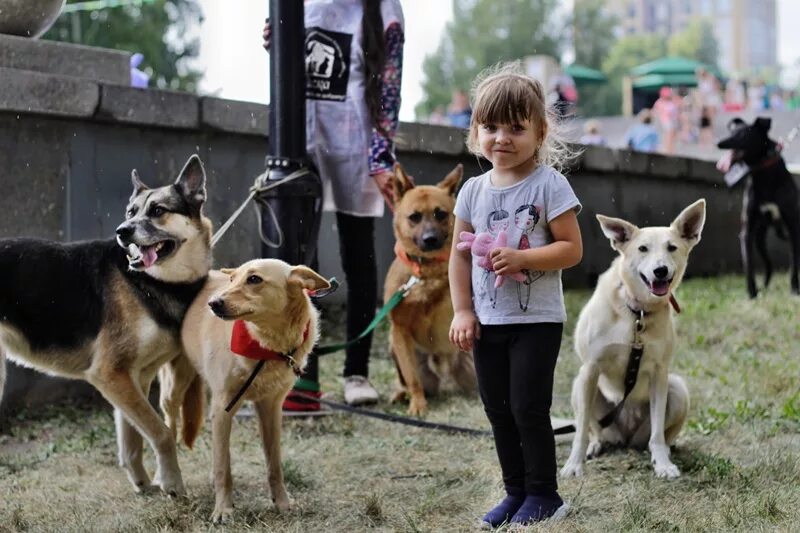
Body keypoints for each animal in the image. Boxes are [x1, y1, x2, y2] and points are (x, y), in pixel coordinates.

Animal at [0, 154, 212, 494]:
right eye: (130, 212)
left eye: (158, 211)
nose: (121, 231)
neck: (152, 283)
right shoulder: (110, 373)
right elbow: (161, 432)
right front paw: (172, 482)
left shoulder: (134, 378)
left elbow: (133, 439)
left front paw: (142, 484)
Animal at [386, 164, 476, 414]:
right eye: (414, 217)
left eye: (440, 214)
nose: (430, 239)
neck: (425, 272)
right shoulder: (399, 330)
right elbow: (412, 379)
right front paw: (418, 405)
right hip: (393, 346)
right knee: (407, 381)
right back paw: (401, 394)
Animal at [564, 200, 708, 478]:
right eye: (642, 249)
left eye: (672, 247)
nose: (660, 270)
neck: (636, 312)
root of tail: (626, 438)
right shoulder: (590, 368)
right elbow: (581, 431)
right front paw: (574, 464)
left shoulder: (660, 373)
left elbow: (658, 434)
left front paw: (663, 464)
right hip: (580, 387)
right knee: (592, 429)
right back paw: (596, 445)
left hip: (677, 389)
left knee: (657, 437)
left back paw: (662, 452)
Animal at [720, 116, 800, 298]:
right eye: (731, 132)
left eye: (743, 135)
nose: (719, 143)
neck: (763, 173)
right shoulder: (747, 231)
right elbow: (748, 264)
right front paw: (752, 293)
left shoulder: (793, 227)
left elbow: (794, 263)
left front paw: (794, 289)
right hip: (759, 239)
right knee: (768, 264)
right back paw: (765, 285)